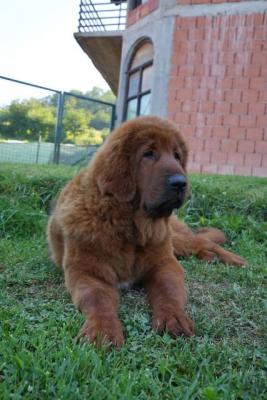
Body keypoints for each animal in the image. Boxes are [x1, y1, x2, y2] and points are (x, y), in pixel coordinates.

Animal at [47, 115, 246, 346]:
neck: (128, 227)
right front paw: (102, 329)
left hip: (174, 240)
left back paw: (234, 259)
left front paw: (173, 317)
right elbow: (96, 298)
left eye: (177, 156)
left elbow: (169, 291)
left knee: (206, 241)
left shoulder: (164, 262)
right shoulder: (86, 272)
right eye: (149, 154)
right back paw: (209, 258)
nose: (181, 183)